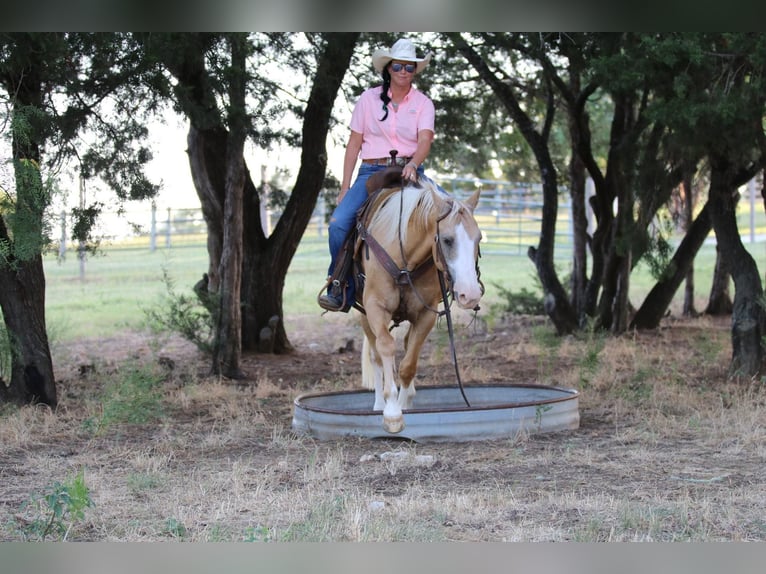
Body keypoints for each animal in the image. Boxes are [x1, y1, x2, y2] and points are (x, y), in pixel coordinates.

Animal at [356, 173, 486, 434]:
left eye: (478, 238)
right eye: (447, 240)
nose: (470, 295)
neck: (404, 257)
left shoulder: (426, 315)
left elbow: (409, 363)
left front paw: (403, 404)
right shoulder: (375, 307)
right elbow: (386, 348)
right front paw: (391, 412)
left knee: (406, 345)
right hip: (365, 315)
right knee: (375, 354)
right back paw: (378, 404)